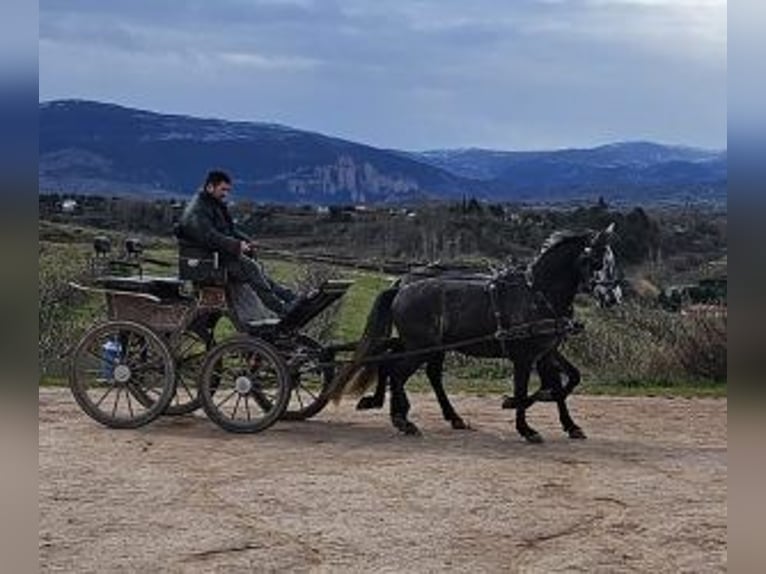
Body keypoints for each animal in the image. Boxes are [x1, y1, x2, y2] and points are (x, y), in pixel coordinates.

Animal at [332, 225, 620, 446]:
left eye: (612, 262)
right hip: (420, 347)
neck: (537, 295)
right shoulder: (524, 358)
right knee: (396, 371)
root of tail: (402, 288)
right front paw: (524, 425)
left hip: (424, 346)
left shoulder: (546, 351)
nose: (613, 298)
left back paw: (432, 415)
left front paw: (569, 424)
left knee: (401, 366)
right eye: (595, 261)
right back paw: (402, 419)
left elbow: (566, 383)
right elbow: (526, 388)